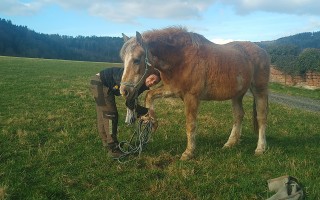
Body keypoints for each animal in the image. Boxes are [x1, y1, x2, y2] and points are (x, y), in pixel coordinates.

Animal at [120, 27, 270, 160]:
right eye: (123, 60)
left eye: (136, 60)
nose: (124, 91)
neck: (182, 58)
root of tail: (262, 50)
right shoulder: (172, 89)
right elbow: (150, 95)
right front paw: (151, 121)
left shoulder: (191, 97)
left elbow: (190, 124)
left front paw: (189, 152)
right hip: (237, 95)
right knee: (238, 115)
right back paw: (230, 143)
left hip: (259, 90)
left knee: (261, 117)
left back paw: (260, 148)